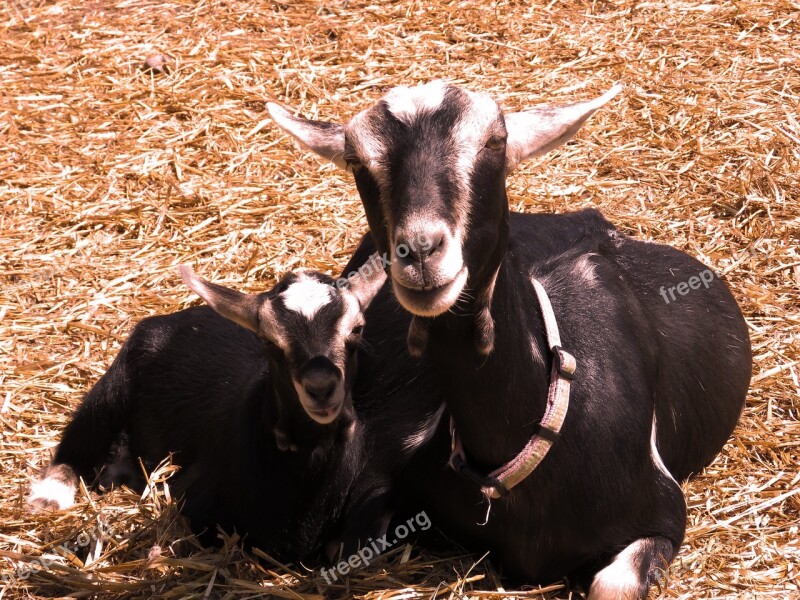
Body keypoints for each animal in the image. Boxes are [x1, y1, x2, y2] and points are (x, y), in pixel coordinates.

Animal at [28, 260, 384, 560]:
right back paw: (50, 495)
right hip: (117, 381)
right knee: (85, 429)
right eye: (269, 341)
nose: (321, 387)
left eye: (357, 330)